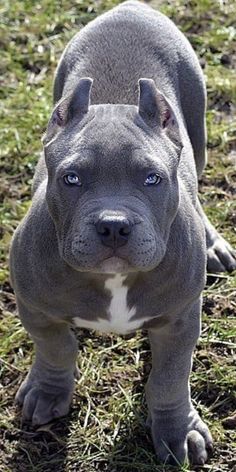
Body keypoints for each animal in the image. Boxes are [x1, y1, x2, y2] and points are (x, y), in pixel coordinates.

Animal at [9, 0, 236, 464]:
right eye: (71, 178)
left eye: (153, 179)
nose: (113, 226)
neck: (114, 279)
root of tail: (131, 7)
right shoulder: (34, 306)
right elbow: (56, 346)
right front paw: (48, 392)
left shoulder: (180, 319)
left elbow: (170, 377)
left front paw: (177, 431)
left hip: (198, 126)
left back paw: (214, 245)